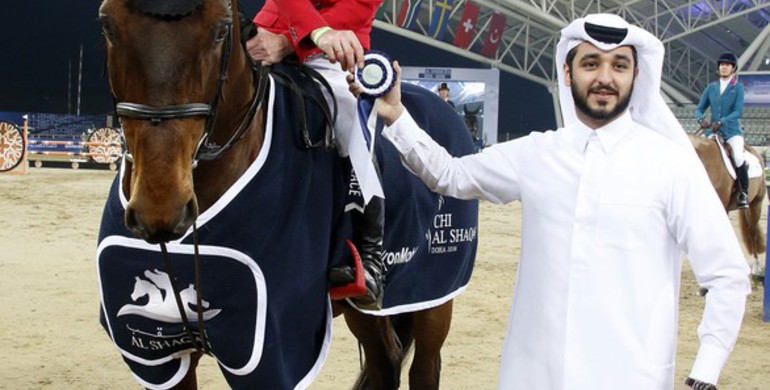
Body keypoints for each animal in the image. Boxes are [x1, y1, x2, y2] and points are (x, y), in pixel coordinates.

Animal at [96, 0, 474, 390]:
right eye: (107, 25)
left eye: (220, 30)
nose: (160, 210)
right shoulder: (156, 356)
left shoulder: (271, 348)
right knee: (384, 364)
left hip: (433, 294)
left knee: (424, 367)